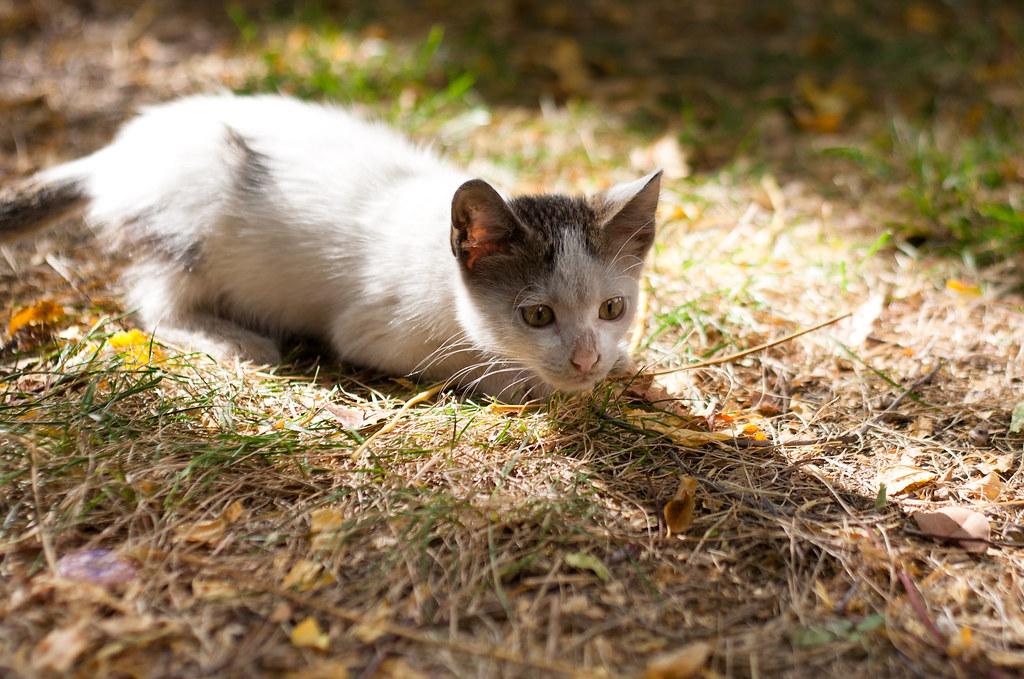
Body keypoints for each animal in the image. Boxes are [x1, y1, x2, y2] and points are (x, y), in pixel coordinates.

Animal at [2, 93, 663, 401]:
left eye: (613, 309)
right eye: (537, 316)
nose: (585, 360)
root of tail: (115, 155)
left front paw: (614, 362)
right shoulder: (370, 332)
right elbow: (464, 363)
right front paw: (528, 383)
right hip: (192, 221)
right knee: (155, 304)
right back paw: (230, 339)